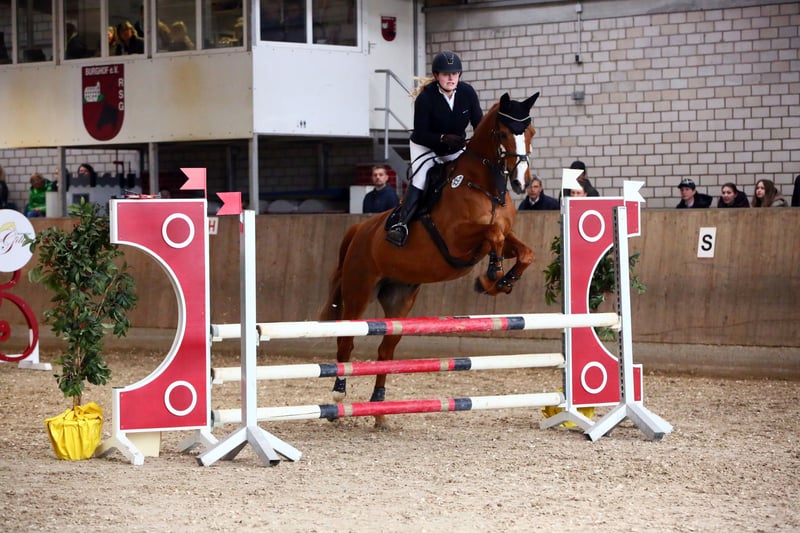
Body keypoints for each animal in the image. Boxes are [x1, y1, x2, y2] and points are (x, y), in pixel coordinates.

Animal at [320, 92, 540, 429]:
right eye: (503, 134)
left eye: (530, 133)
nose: (521, 183)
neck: (483, 186)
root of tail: (360, 229)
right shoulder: (457, 239)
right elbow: (493, 235)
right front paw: (490, 276)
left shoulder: (504, 235)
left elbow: (521, 250)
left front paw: (499, 281)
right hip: (359, 291)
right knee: (347, 340)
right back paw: (338, 396)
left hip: (399, 299)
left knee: (386, 351)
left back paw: (380, 409)